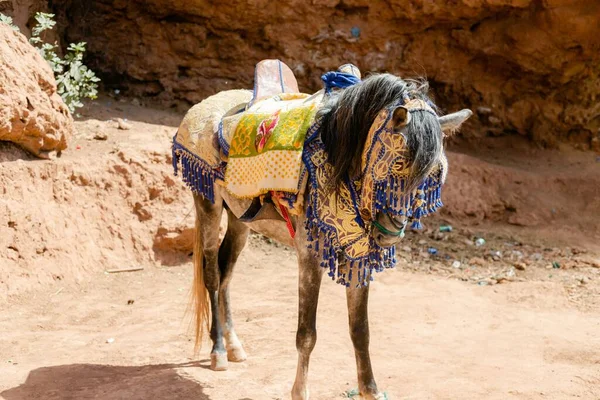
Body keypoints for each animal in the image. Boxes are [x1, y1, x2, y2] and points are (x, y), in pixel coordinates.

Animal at [172, 60, 474, 400]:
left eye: (434, 174)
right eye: (396, 165)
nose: (389, 233)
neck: (337, 162)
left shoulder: (358, 257)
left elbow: (360, 330)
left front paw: (370, 390)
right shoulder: (310, 256)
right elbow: (307, 334)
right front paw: (300, 391)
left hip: (240, 221)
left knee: (225, 275)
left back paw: (234, 345)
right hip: (208, 206)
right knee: (212, 275)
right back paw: (219, 351)